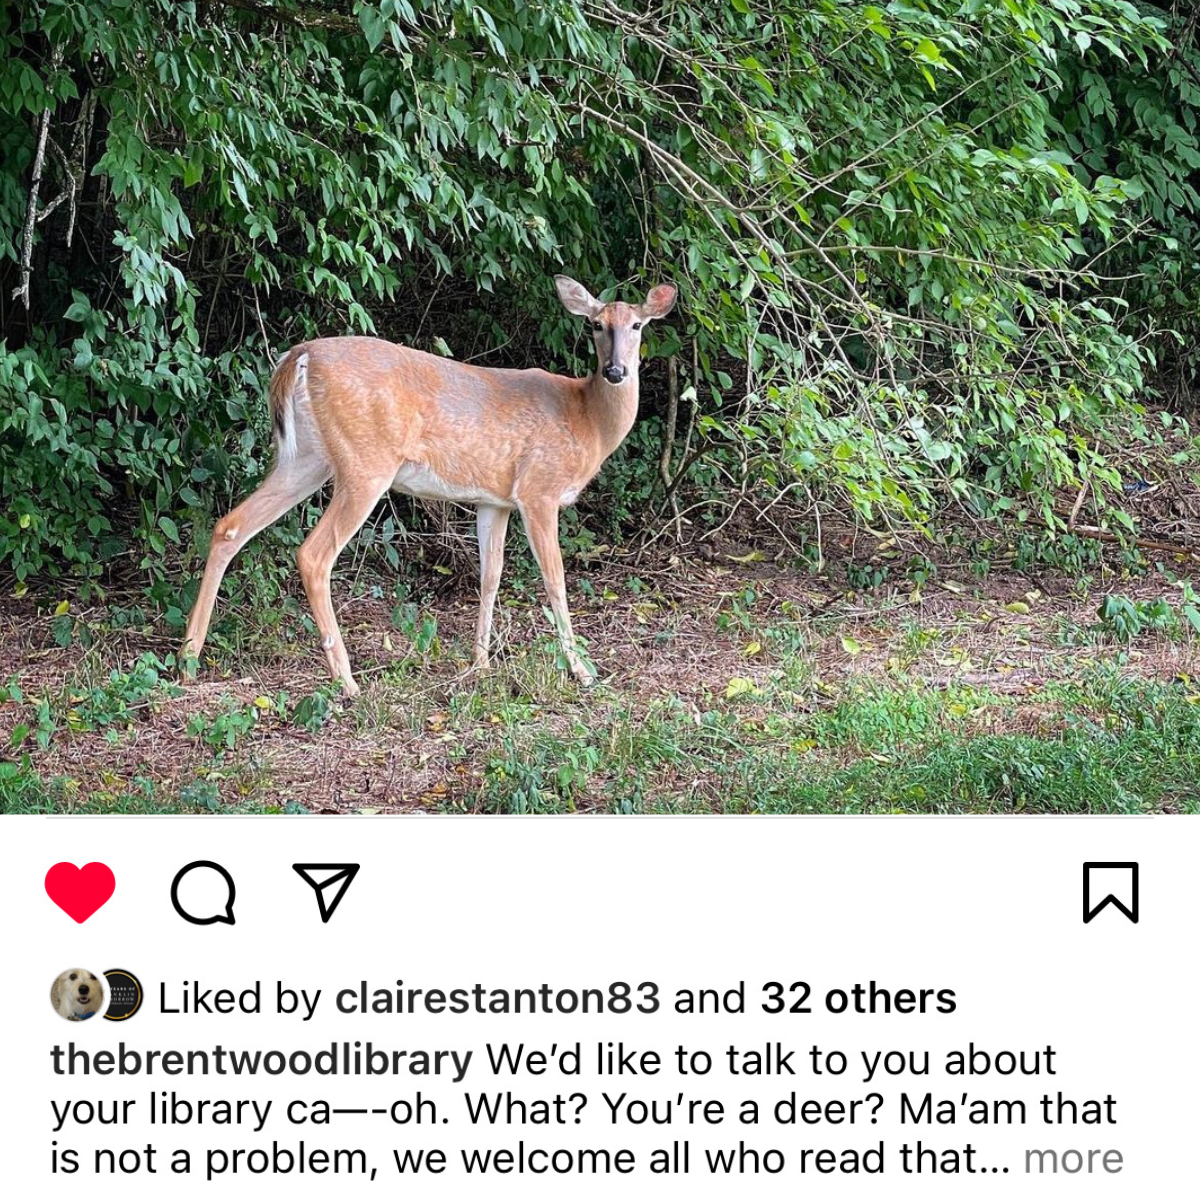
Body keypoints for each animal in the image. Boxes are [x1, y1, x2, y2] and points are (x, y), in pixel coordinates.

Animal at [179, 275, 678, 697]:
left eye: (637, 324)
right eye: (595, 324)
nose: (615, 371)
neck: (586, 420)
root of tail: (297, 356)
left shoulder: (494, 500)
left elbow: (490, 575)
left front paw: (480, 664)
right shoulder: (539, 489)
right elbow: (554, 579)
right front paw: (581, 670)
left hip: (307, 459)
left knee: (230, 526)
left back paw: (188, 658)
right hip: (366, 462)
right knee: (313, 554)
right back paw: (347, 681)